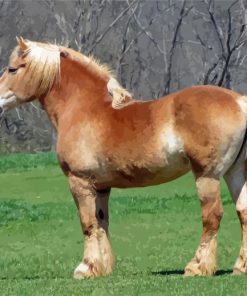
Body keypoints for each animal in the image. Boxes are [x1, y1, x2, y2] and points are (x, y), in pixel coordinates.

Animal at [0, 37, 247, 278]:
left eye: (12, 69)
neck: (85, 108)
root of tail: (239, 102)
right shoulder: (100, 187)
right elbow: (101, 222)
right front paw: (102, 268)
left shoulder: (79, 181)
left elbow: (87, 224)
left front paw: (85, 268)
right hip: (235, 172)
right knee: (242, 212)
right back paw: (240, 267)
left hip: (208, 175)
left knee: (212, 217)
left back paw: (197, 267)